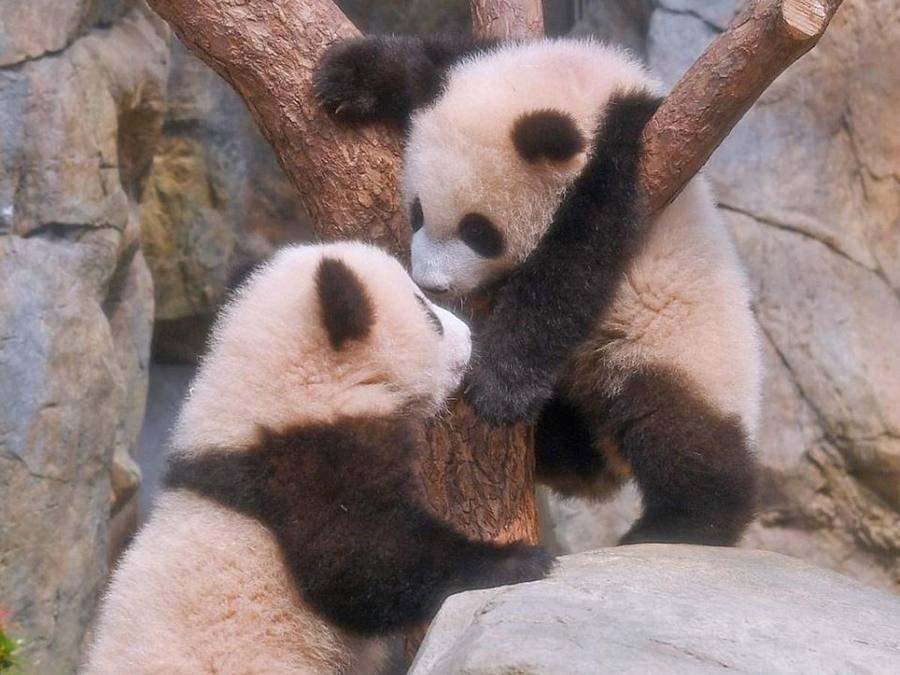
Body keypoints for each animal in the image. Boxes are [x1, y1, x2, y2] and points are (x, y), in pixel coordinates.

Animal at [315, 37, 762, 546]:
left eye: (478, 232)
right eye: (417, 213)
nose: (430, 283)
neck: (584, 86)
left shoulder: (633, 160)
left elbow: (569, 271)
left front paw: (497, 388)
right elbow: (428, 63)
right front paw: (347, 76)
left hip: (681, 353)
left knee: (684, 436)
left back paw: (680, 523)